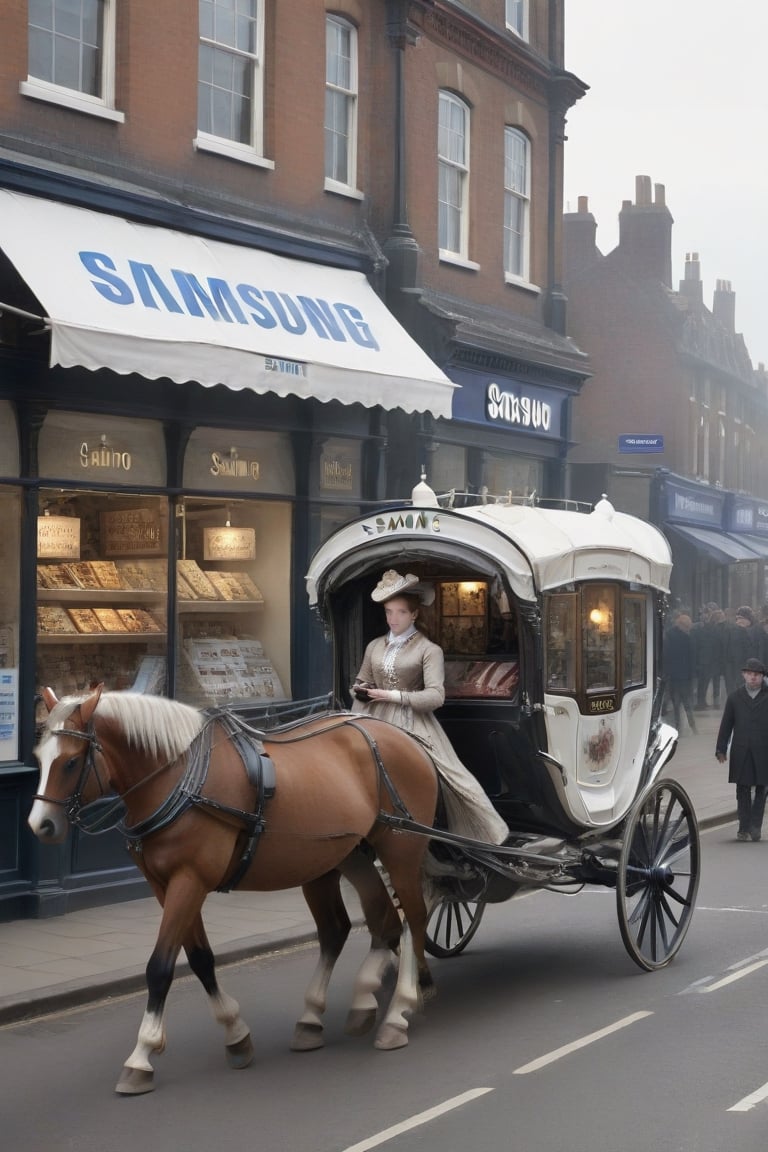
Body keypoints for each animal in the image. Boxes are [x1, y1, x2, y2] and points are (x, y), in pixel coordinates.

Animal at [28, 686, 437, 1092]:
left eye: (71, 762)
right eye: (39, 757)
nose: (40, 825)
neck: (178, 776)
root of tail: (404, 738)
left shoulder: (189, 880)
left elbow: (160, 966)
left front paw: (141, 1055)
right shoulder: (165, 885)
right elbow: (199, 959)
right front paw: (235, 1033)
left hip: (400, 851)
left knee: (412, 920)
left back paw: (400, 1009)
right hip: (340, 857)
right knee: (365, 925)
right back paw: (341, 1007)